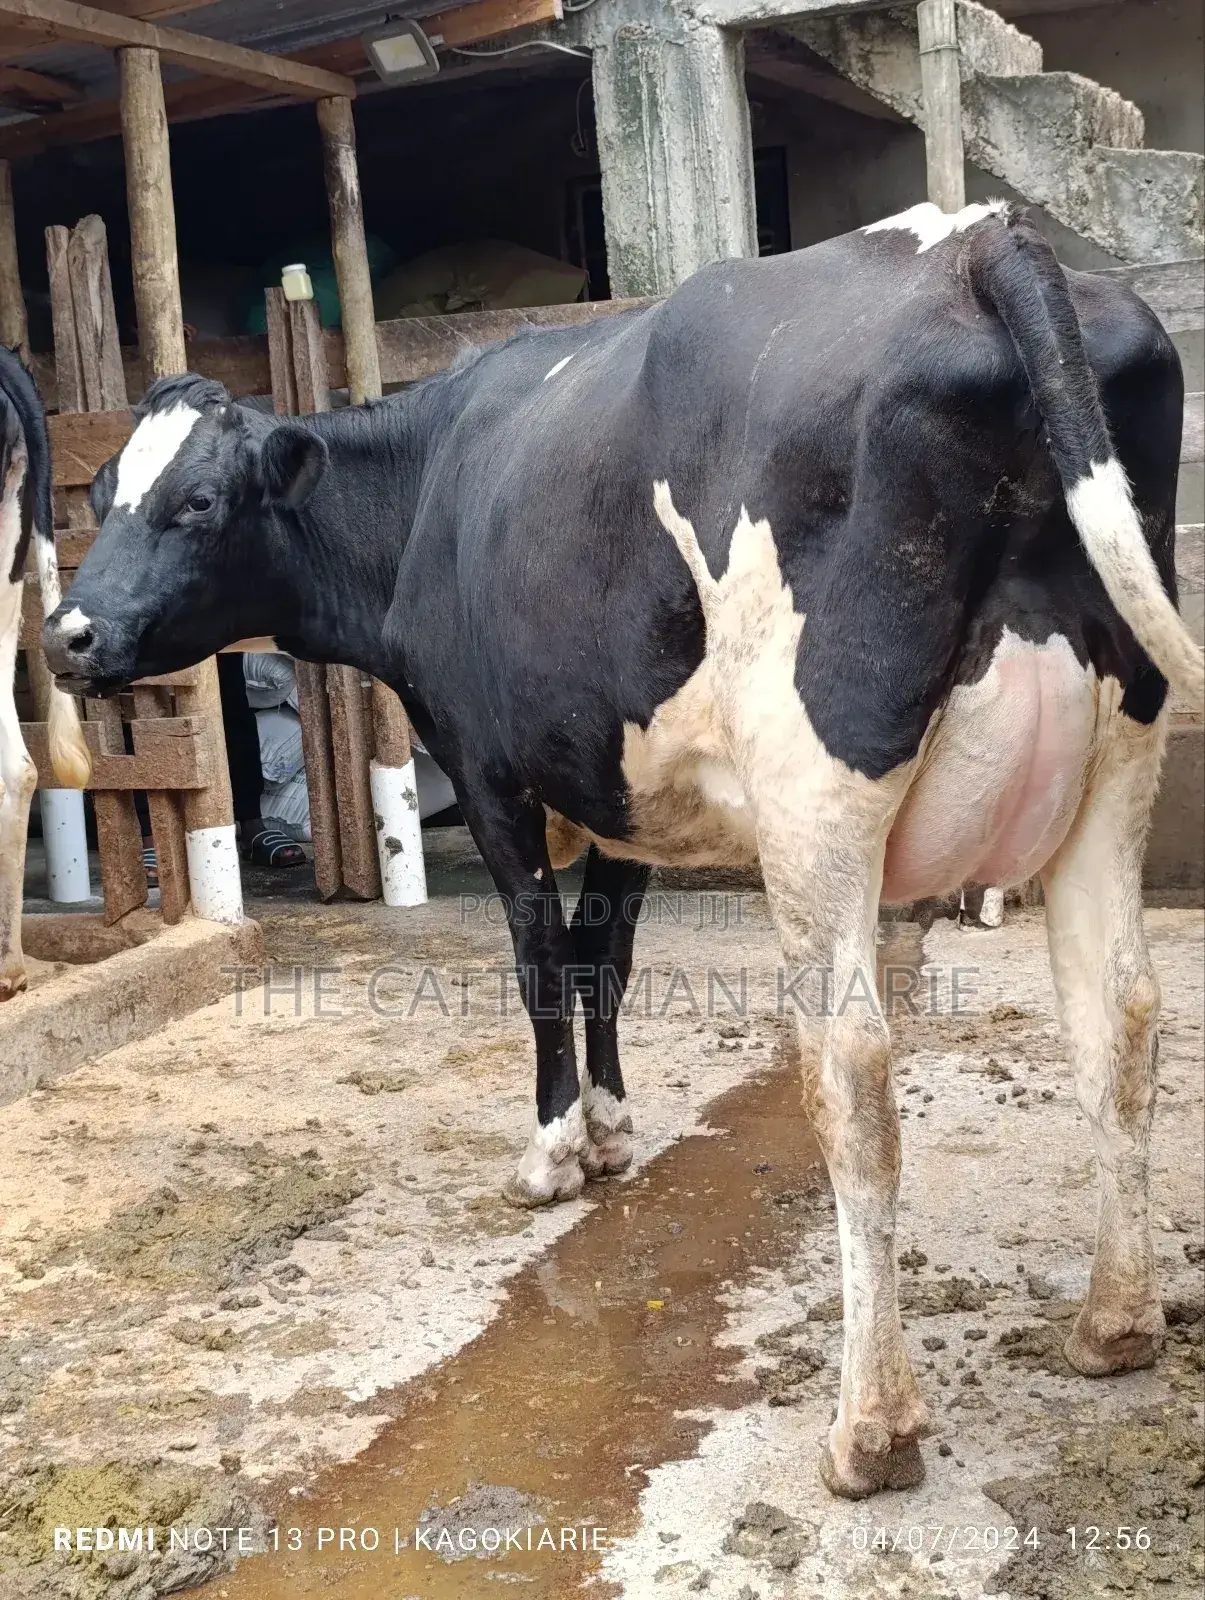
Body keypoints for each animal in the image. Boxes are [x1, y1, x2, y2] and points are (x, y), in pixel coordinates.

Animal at [43, 203, 1202, 1498]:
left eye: (196, 503)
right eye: (106, 488)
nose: (67, 634)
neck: (433, 485)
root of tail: (969, 238)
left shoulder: (491, 771)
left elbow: (543, 961)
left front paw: (554, 1151)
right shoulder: (621, 786)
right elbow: (607, 960)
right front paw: (610, 1128)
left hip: (815, 780)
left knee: (850, 1069)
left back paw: (870, 1427)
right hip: (1116, 752)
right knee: (1118, 1016)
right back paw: (1113, 1322)